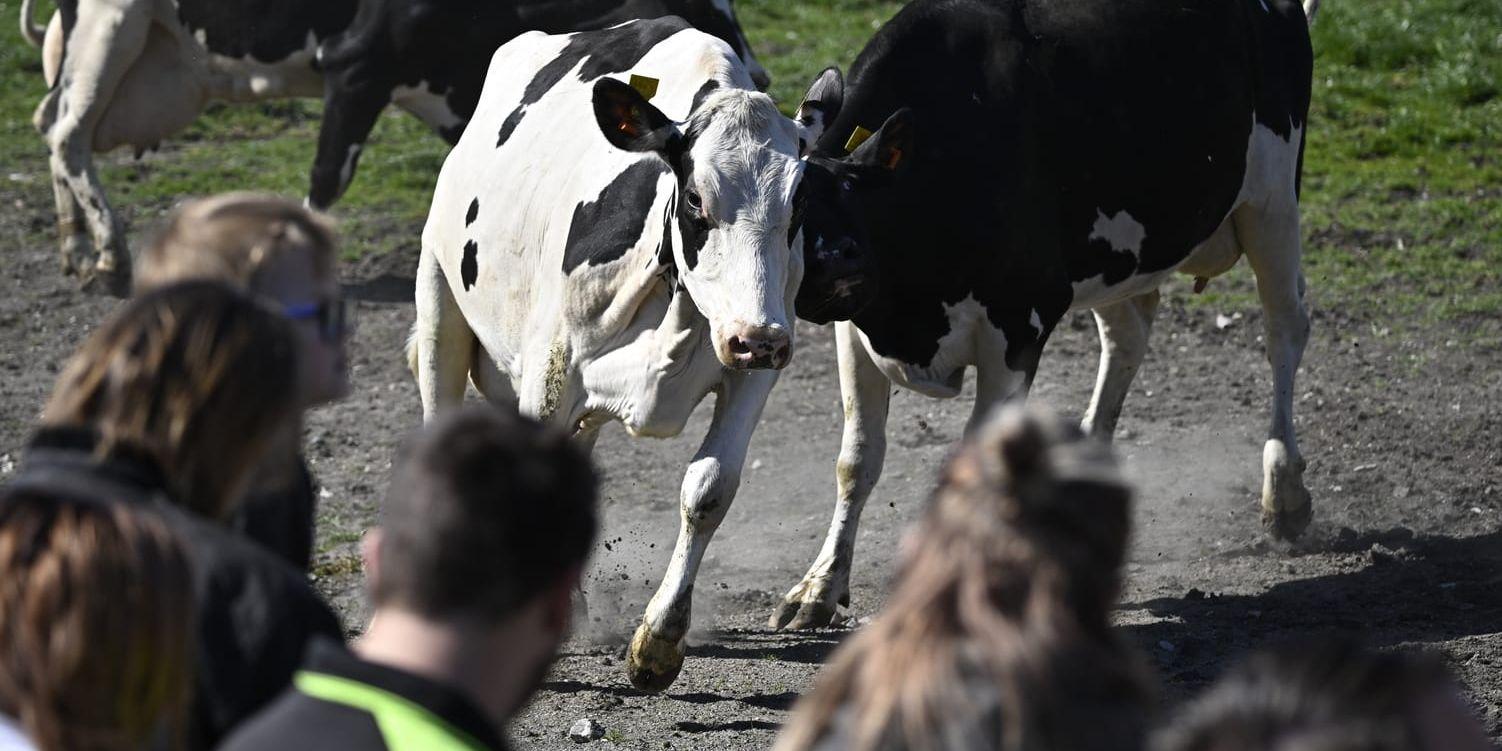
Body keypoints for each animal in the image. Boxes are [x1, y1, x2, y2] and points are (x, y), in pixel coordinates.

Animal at [26, 0, 763, 289]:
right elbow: (327, 177)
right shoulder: (356, 64)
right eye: (704, 6)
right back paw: (108, 254)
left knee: (52, 119)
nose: (759, 75)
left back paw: (74, 247)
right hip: (108, 24)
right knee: (66, 132)